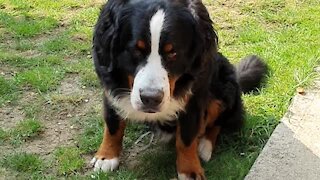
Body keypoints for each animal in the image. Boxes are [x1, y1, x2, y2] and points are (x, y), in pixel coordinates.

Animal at [89, 0, 266, 179]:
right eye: (135, 50)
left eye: (173, 53)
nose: (150, 98)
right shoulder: (110, 87)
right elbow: (113, 125)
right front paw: (107, 156)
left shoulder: (194, 98)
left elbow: (186, 138)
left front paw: (189, 171)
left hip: (223, 87)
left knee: (218, 122)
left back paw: (204, 146)